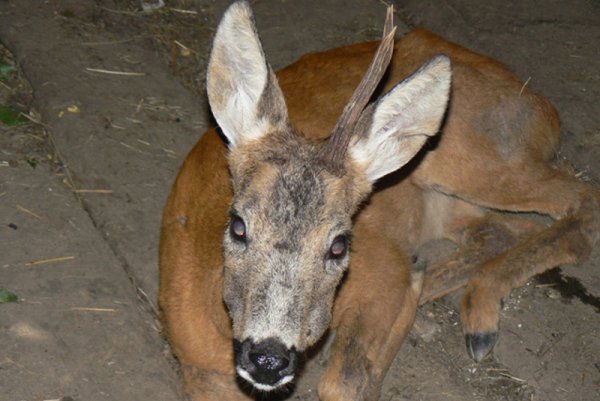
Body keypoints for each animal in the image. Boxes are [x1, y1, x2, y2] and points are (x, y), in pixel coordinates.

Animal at [159, 1, 600, 398]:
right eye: (238, 225)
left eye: (339, 245)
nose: (268, 357)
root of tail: (545, 108)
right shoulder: (197, 366)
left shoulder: (383, 269)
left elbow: (343, 382)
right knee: (504, 229)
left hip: (474, 160)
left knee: (580, 201)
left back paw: (474, 316)